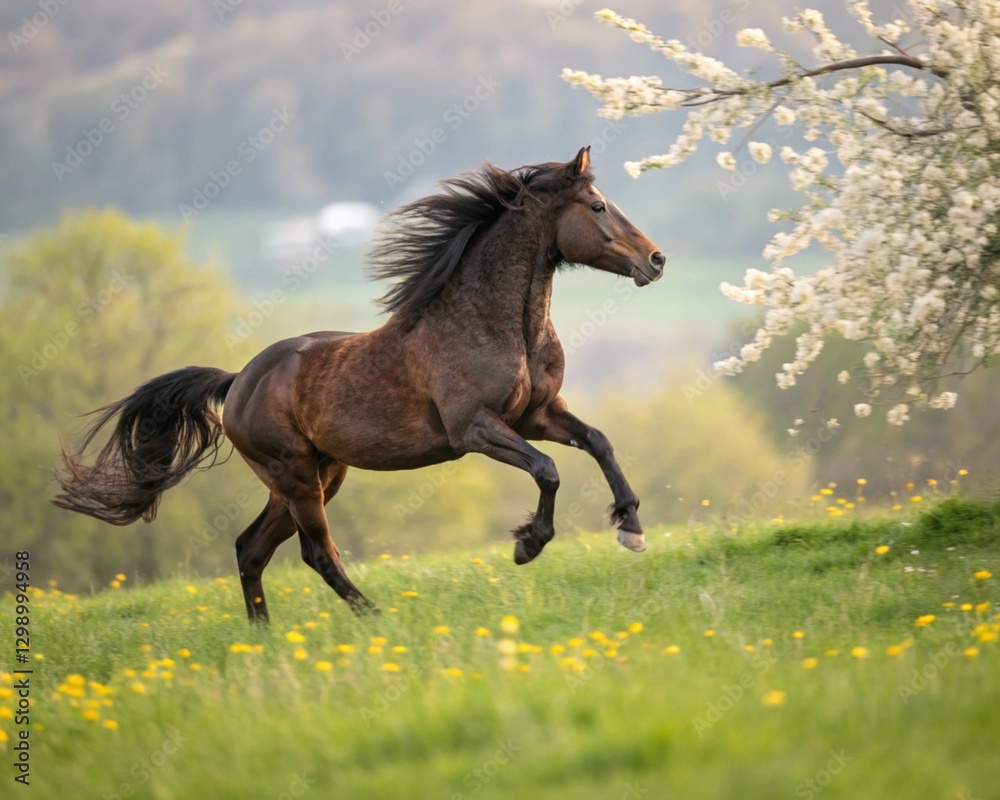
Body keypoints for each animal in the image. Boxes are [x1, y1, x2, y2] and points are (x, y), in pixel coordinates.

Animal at [54, 146, 665, 623]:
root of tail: (238, 382)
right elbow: (548, 469)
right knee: (315, 552)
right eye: (598, 206)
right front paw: (527, 545)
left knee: (250, 549)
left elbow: (598, 442)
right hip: (297, 477)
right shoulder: (475, 429)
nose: (656, 259)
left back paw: (263, 637)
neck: (496, 325)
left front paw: (631, 528)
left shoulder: (536, 414)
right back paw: (374, 616)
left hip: (319, 474)